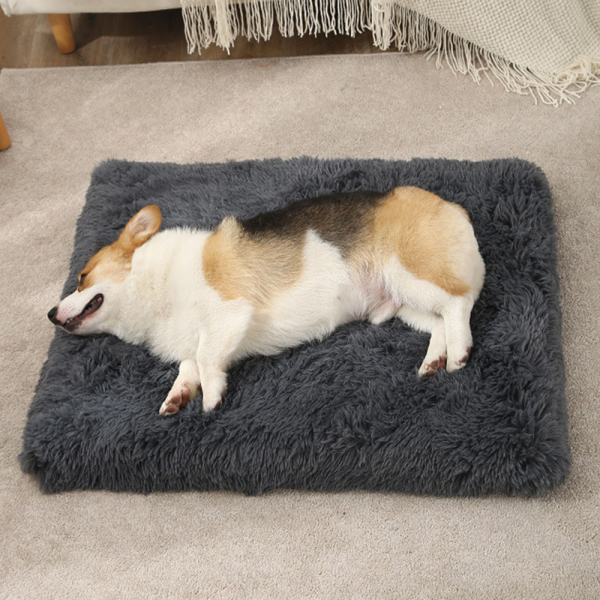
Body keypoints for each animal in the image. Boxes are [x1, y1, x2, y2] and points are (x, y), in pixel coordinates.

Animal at [48, 187, 485, 416]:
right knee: (440, 323)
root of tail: (454, 208)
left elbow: (205, 358)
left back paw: (460, 353)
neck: (157, 283)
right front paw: (178, 396)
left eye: (82, 277)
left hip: (410, 275)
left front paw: (212, 399)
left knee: (459, 304)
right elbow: (189, 366)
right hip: (403, 306)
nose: (51, 313)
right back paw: (434, 360)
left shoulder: (228, 311)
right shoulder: (198, 340)